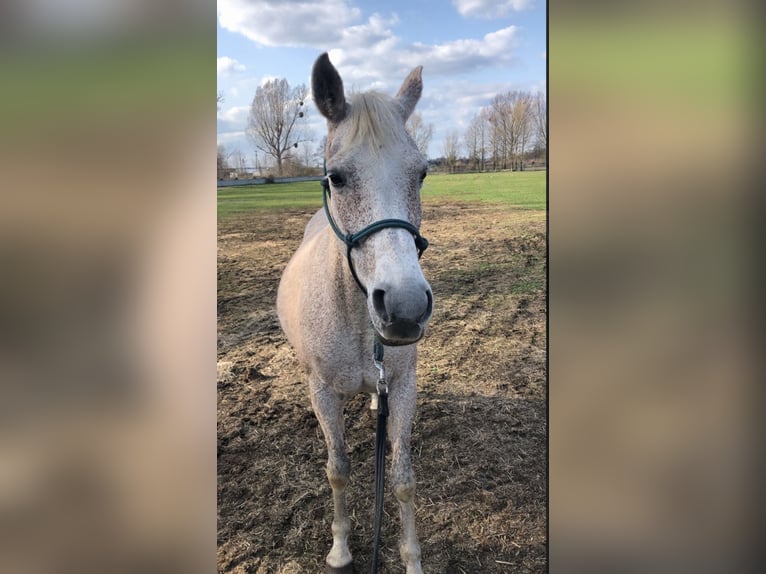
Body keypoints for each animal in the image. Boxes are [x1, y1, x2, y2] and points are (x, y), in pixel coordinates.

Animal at [276, 53, 433, 574]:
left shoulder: (402, 387)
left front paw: (411, 559)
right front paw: (341, 546)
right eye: (337, 178)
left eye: (422, 174)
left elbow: (402, 478)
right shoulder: (324, 394)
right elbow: (338, 471)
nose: (404, 307)